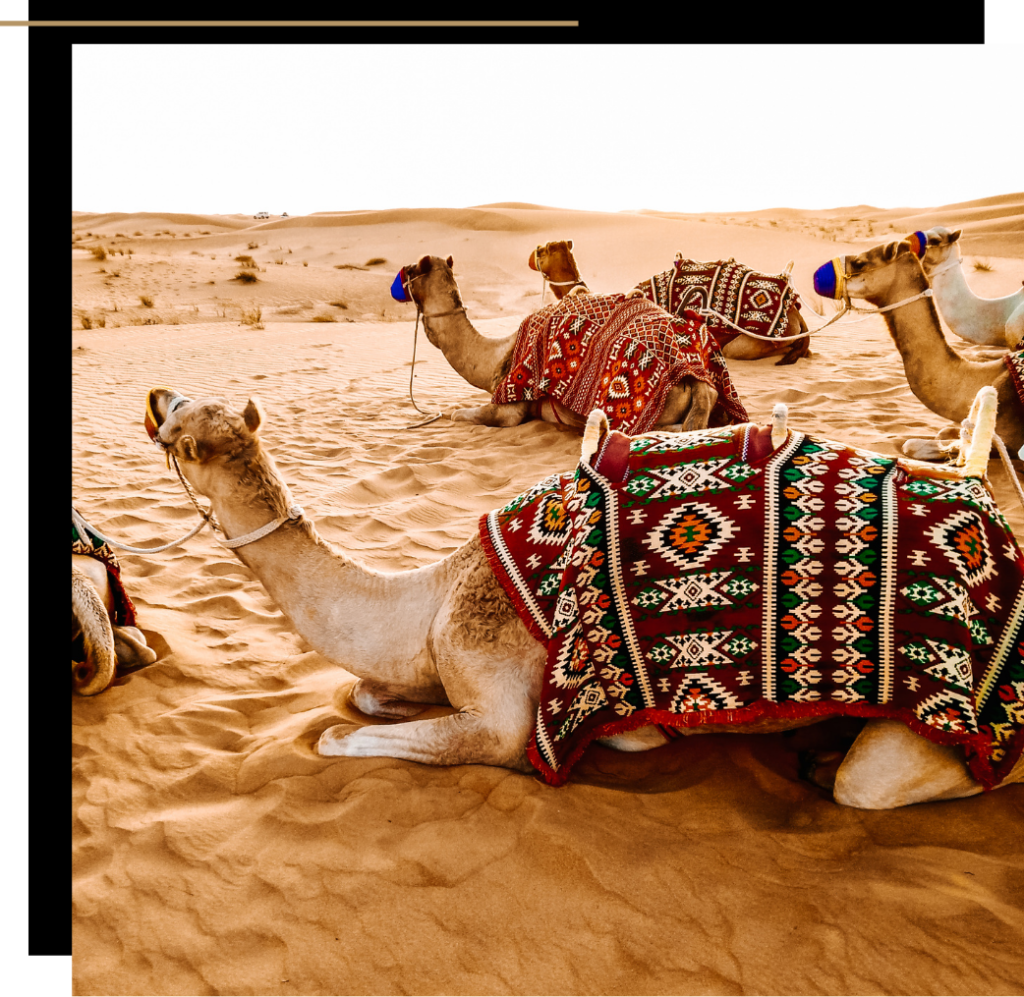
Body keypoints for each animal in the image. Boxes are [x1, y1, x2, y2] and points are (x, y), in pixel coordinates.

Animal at [144, 386, 1024, 806]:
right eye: (185, 410)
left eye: (179, 433)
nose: (154, 395)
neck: (431, 596)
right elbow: (363, 695)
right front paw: (638, 735)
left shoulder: (499, 710)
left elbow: (339, 735)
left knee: (891, 780)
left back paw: (825, 764)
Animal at [391, 253, 729, 434]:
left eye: (413, 268)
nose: (397, 282)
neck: (494, 356)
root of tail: (693, 377)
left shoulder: (511, 401)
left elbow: (463, 414)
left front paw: (452, 413)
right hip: (706, 391)